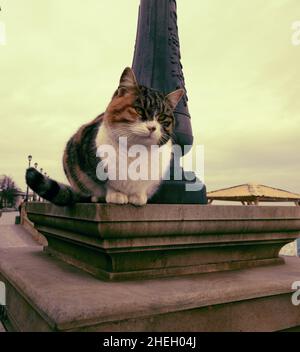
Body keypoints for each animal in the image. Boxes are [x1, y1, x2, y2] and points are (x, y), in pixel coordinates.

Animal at [25, 67, 184, 206]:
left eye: (162, 117)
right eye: (138, 110)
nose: (152, 127)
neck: (136, 151)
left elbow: (141, 187)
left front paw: (138, 196)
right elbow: (108, 183)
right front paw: (116, 195)